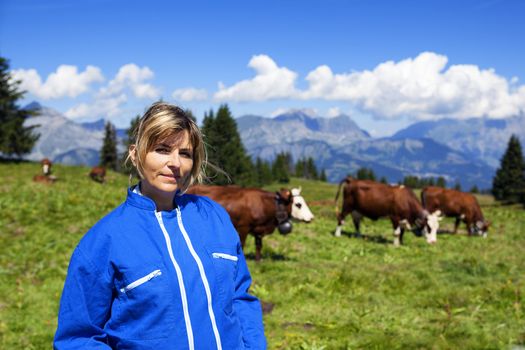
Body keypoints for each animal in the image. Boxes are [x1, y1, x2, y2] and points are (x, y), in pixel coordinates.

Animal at [186, 185, 314, 262]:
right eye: (298, 204)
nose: (311, 217)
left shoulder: (259, 229)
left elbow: (259, 245)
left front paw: (258, 261)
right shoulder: (243, 227)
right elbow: (242, 246)